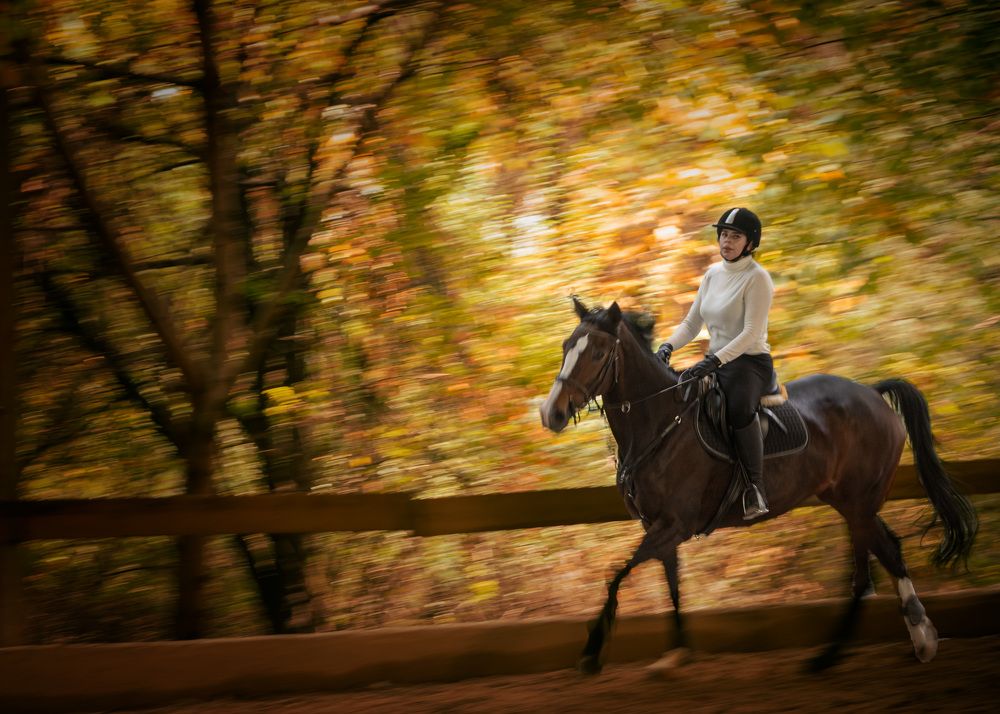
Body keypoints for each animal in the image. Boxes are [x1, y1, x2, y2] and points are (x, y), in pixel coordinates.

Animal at [539, 297, 978, 673]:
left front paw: (591, 652)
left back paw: (918, 639)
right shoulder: (659, 528)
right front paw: (677, 652)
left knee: (880, 557)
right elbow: (672, 585)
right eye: (566, 346)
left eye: (597, 353)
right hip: (850, 503)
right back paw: (833, 656)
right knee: (872, 564)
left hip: (858, 503)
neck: (661, 423)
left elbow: (616, 576)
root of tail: (872, 393)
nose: (551, 414)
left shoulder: (674, 525)